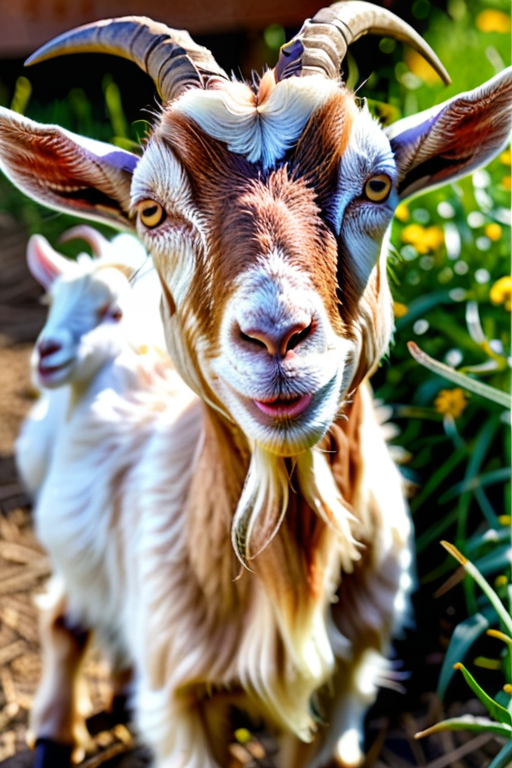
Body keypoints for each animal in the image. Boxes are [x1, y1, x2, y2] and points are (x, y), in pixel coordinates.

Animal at [1, 2, 511, 766]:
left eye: (378, 186)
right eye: (151, 211)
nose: (277, 336)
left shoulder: (353, 672)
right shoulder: (178, 699)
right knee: (64, 612)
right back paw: (53, 732)